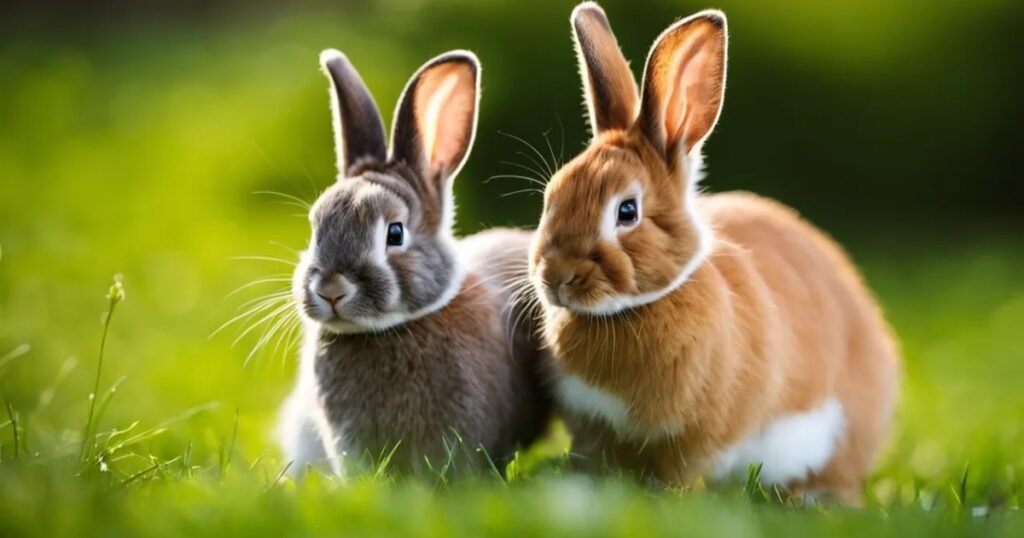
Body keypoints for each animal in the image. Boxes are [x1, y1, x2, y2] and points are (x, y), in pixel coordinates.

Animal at [528, 2, 900, 504]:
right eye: (552, 196)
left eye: (627, 211)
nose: (556, 276)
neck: (629, 311)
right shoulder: (594, 430)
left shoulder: (693, 441)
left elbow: (678, 472)